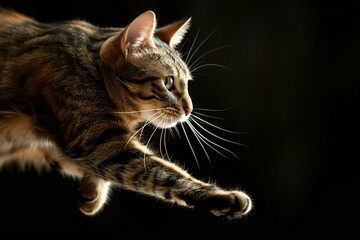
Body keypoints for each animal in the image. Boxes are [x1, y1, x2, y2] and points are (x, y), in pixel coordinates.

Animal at [0, 6, 253, 220]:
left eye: (187, 84)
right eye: (168, 82)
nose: (189, 110)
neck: (94, 71)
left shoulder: (63, 141)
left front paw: (93, 192)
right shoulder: (101, 143)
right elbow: (163, 173)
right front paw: (221, 196)